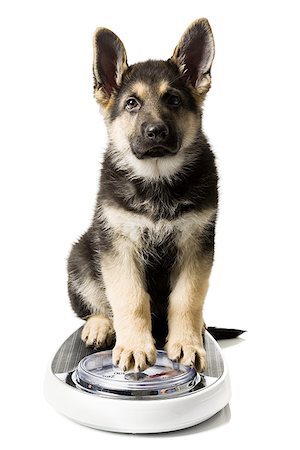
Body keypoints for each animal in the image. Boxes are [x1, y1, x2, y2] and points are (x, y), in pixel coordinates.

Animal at [67, 18, 218, 372]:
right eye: (131, 104)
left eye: (174, 100)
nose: (156, 132)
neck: (157, 178)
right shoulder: (119, 246)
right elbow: (130, 299)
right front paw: (135, 347)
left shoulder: (196, 245)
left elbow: (187, 299)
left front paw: (187, 344)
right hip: (80, 256)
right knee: (96, 305)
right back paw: (99, 326)